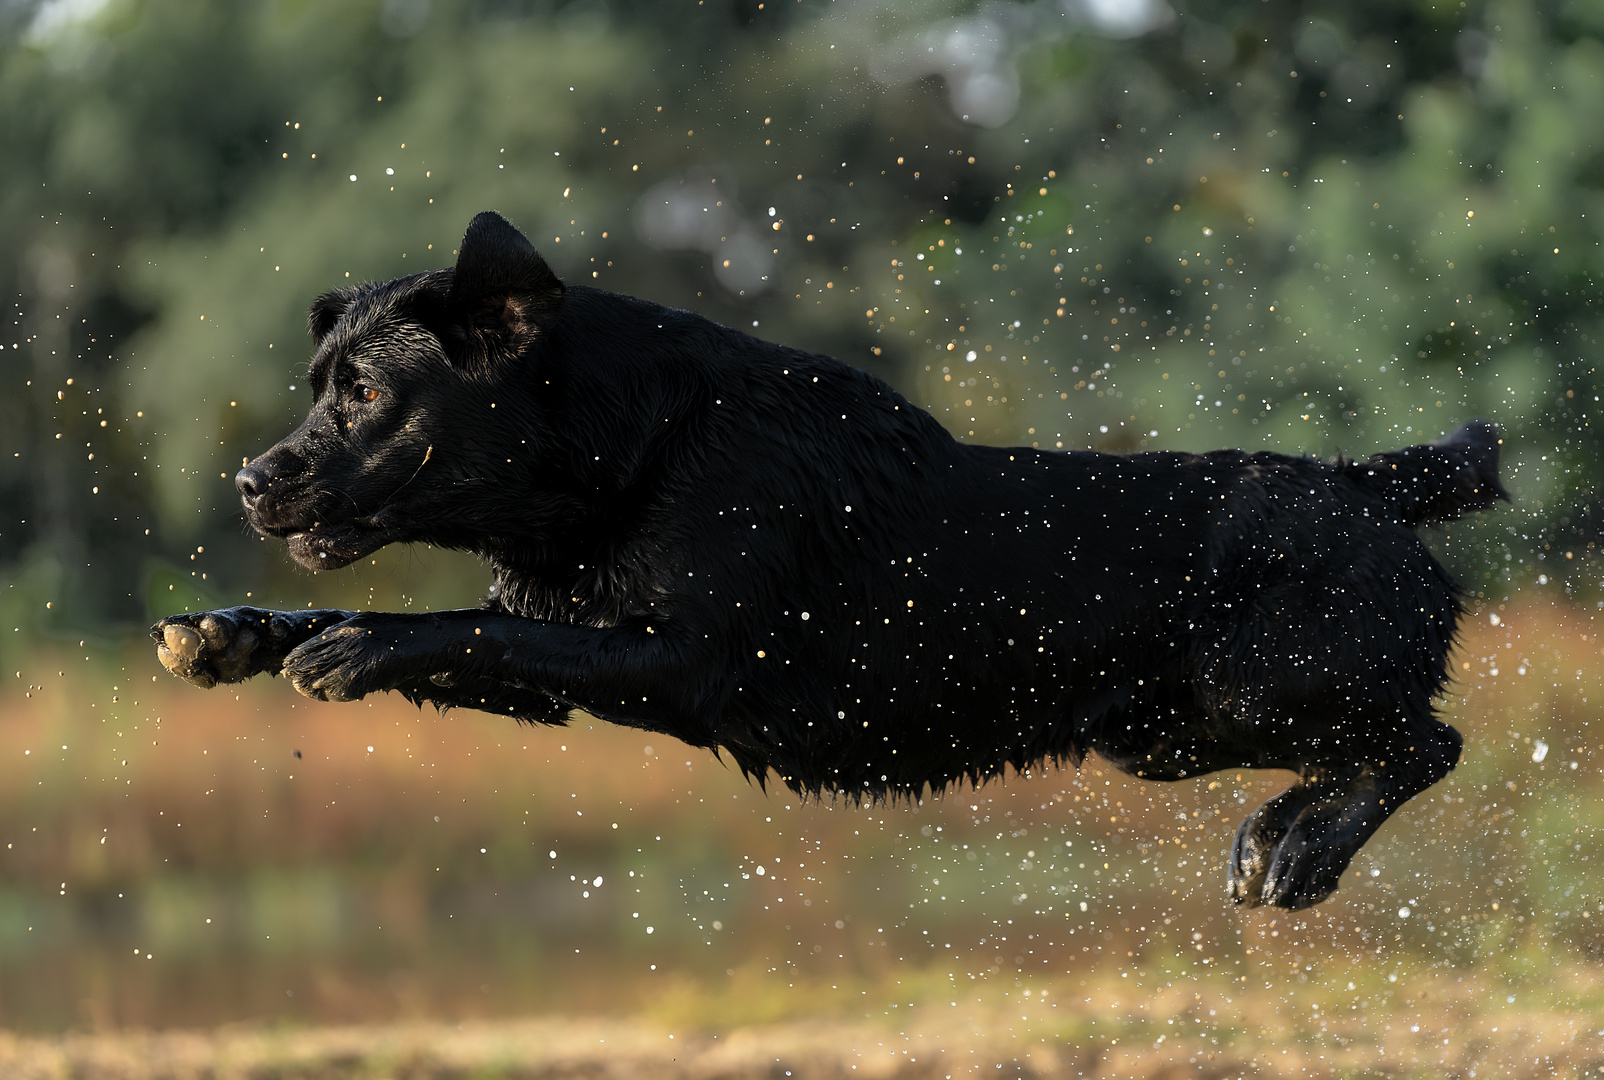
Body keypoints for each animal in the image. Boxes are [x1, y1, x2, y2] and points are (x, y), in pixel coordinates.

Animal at [150, 210, 1501, 911]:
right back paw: (1275, 835)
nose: (251, 480)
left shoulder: (676, 661)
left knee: (1426, 743)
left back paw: (1297, 851)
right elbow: (477, 636)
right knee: (1379, 748)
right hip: (1160, 734)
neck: (635, 446)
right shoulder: (564, 661)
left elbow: (463, 627)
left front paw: (356, 641)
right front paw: (225, 632)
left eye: (369, 394)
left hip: (1250, 691)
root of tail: (1363, 481)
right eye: (313, 386)